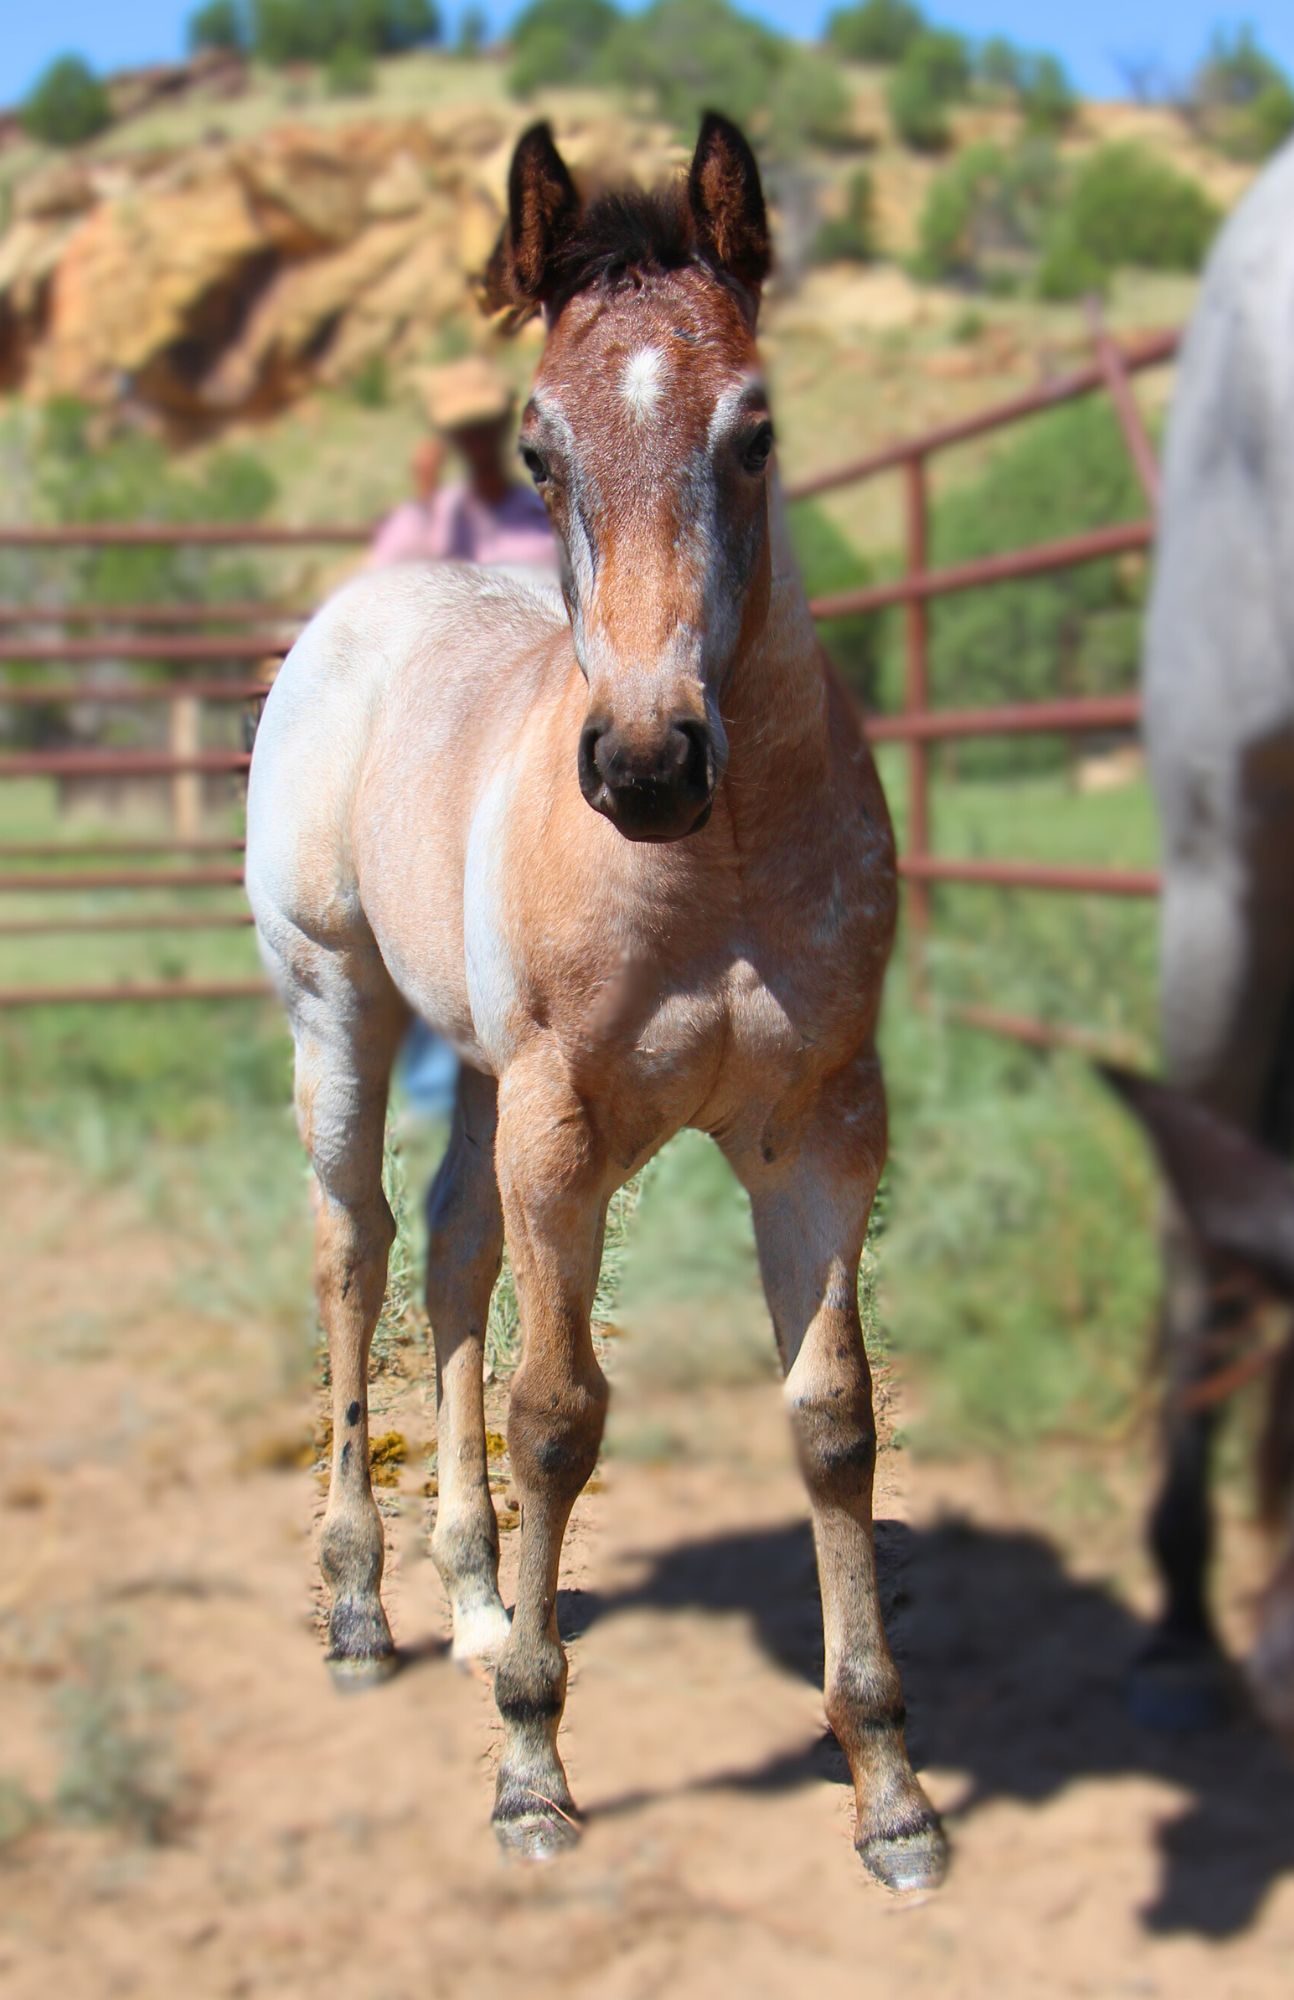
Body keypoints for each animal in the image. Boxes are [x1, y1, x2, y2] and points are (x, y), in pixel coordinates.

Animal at [245, 112, 945, 1891]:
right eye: (538, 449)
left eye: (754, 432)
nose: (643, 764)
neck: (719, 868)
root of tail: (362, 606)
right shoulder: (567, 1122)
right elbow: (557, 1411)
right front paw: (531, 1778)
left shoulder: (822, 1126)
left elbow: (833, 1421)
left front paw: (891, 1793)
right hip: (338, 1008)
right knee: (351, 1249)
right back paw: (360, 1613)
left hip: (483, 1068)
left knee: (448, 1248)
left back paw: (483, 1607)